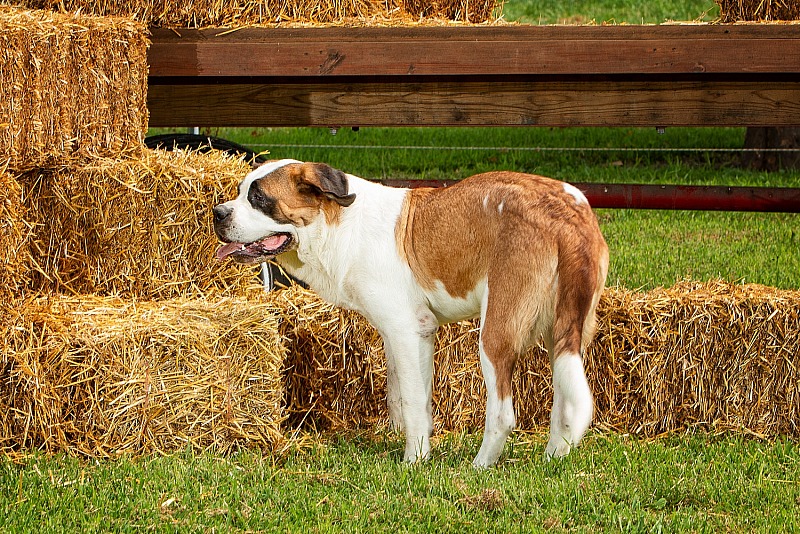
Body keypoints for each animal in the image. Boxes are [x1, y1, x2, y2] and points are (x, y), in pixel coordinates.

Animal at [212, 159, 608, 468]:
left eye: (259, 199)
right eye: (240, 191)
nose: (218, 213)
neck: (339, 225)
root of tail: (567, 213)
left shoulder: (404, 330)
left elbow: (414, 399)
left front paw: (414, 460)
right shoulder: (410, 334)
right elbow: (404, 395)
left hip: (496, 332)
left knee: (503, 412)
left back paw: (480, 465)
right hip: (564, 331)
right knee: (566, 402)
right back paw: (554, 456)